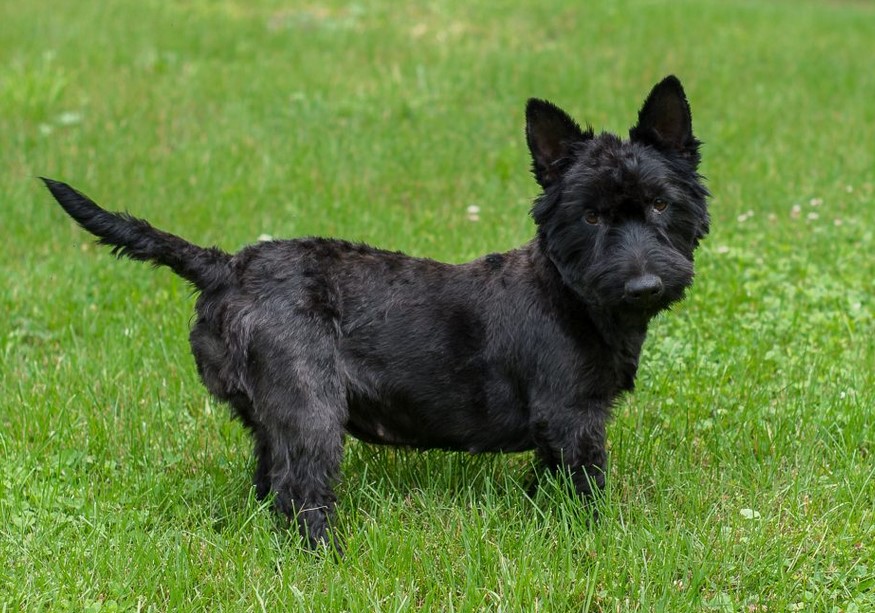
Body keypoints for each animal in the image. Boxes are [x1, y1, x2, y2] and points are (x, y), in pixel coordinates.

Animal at [42, 74, 712, 548]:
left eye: (660, 204)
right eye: (591, 216)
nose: (644, 283)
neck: (573, 295)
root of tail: (227, 267)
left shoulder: (562, 430)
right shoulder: (574, 420)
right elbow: (585, 490)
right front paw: (593, 543)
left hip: (272, 417)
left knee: (270, 484)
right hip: (311, 408)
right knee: (301, 496)